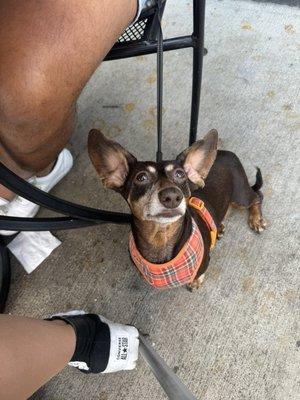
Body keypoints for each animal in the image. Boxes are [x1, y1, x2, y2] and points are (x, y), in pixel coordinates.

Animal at [88, 130, 266, 290]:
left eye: (180, 174)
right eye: (141, 177)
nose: (172, 196)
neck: (160, 236)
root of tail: (228, 153)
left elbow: (199, 274)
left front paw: (196, 281)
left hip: (241, 196)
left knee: (258, 196)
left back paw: (256, 220)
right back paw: (219, 227)